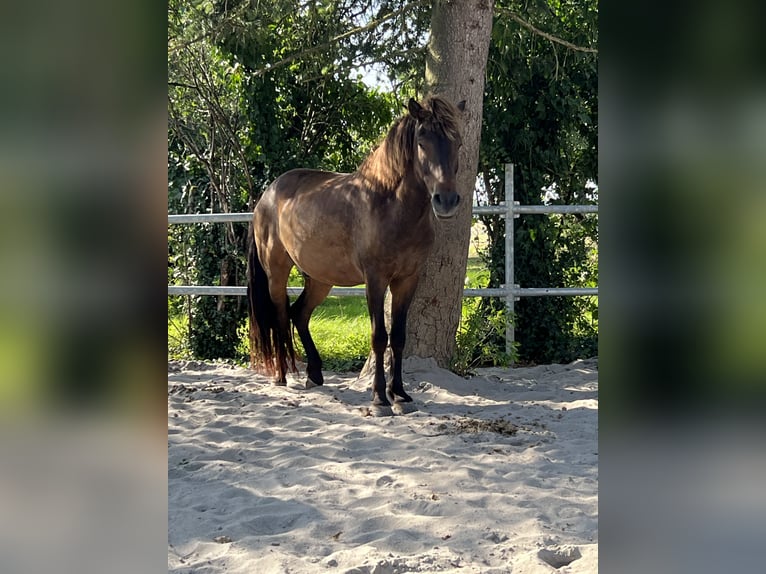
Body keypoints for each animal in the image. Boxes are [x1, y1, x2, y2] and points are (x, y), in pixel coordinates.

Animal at [246, 95, 465, 409]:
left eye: (458, 141)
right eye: (422, 141)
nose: (446, 201)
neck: (389, 205)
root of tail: (266, 196)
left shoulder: (407, 280)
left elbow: (399, 337)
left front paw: (399, 393)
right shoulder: (375, 280)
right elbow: (379, 337)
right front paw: (379, 397)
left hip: (320, 278)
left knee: (299, 313)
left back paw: (314, 374)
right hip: (276, 272)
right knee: (279, 316)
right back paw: (281, 374)